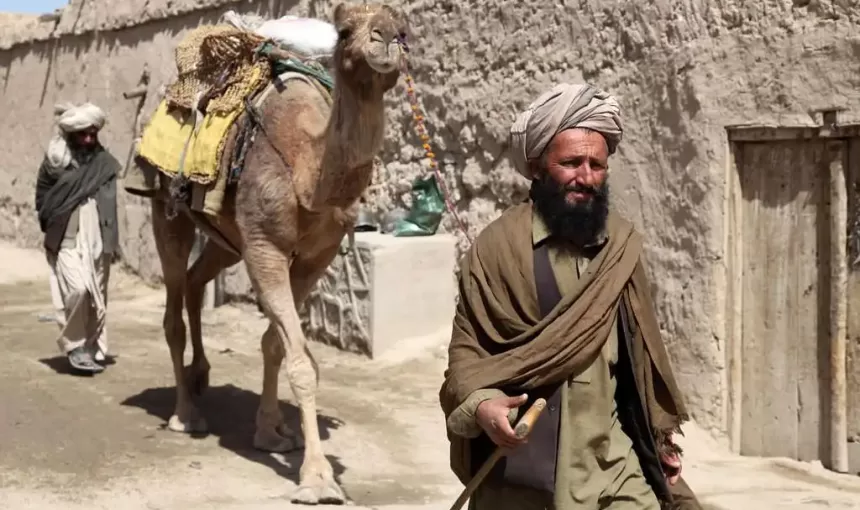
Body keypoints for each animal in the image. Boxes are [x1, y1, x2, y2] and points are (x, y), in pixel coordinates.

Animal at [142, 3, 408, 504]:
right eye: (345, 30)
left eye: (406, 30)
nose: (387, 38)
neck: (307, 169)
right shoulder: (265, 247)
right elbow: (301, 361)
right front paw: (318, 479)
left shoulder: (315, 257)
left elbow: (275, 345)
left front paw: (271, 432)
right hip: (167, 207)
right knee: (173, 306)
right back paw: (185, 414)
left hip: (226, 236)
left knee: (196, 280)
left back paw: (202, 376)